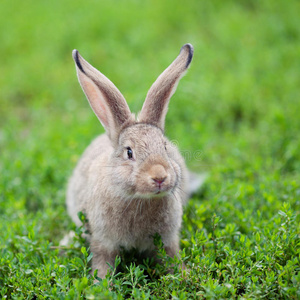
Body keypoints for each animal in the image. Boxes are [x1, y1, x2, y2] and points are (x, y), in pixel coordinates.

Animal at [66, 44, 203, 278]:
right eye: (129, 152)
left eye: (164, 147)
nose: (159, 177)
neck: (140, 199)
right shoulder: (103, 241)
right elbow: (103, 263)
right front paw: (101, 283)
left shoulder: (167, 240)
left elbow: (171, 257)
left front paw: (185, 276)